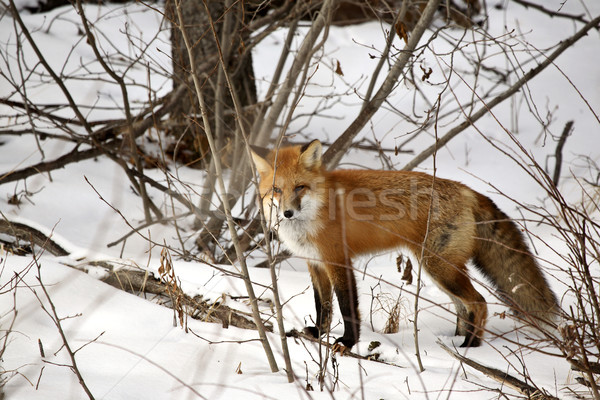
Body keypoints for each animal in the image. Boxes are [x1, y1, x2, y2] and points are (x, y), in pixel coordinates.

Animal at [251, 141, 560, 350]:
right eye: (276, 190)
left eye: (300, 187)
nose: (287, 213)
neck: (319, 208)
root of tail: (467, 189)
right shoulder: (315, 263)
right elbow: (323, 306)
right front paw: (317, 333)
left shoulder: (338, 260)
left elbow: (347, 306)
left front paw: (348, 342)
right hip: (439, 269)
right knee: (463, 308)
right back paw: (457, 339)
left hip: (439, 267)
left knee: (479, 302)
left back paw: (471, 348)